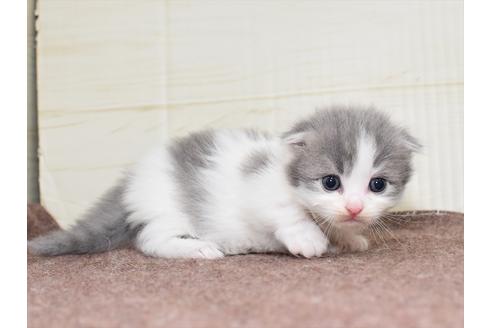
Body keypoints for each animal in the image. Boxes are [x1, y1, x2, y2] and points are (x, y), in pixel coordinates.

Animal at [27, 107, 418, 258]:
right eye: (330, 182)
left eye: (377, 185)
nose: (354, 207)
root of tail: (132, 180)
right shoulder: (258, 187)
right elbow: (284, 210)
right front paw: (308, 237)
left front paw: (349, 236)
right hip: (168, 210)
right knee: (149, 240)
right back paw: (198, 248)